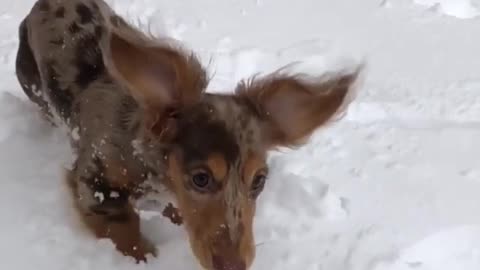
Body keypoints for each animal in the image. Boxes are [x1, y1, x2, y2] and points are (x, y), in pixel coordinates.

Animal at [14, 1, 360, 268]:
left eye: (259, 181)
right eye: (201, 178)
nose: (234, 266)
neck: (146, 159)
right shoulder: (95, 185)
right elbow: (127, 234)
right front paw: (146, 257)